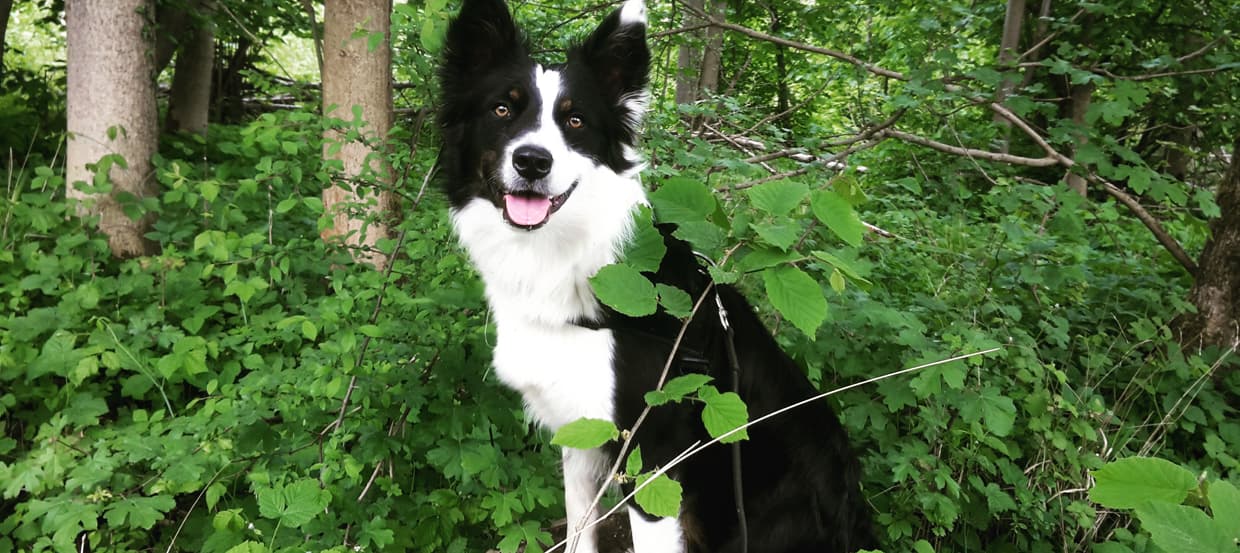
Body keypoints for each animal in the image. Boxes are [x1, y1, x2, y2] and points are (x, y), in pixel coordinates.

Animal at [436, 2, 872, 550]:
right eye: (501, 110)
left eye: (575, 120)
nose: (533, 161)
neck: (564, 261)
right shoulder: (580, 435)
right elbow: (579, 530)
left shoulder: (653, 458)